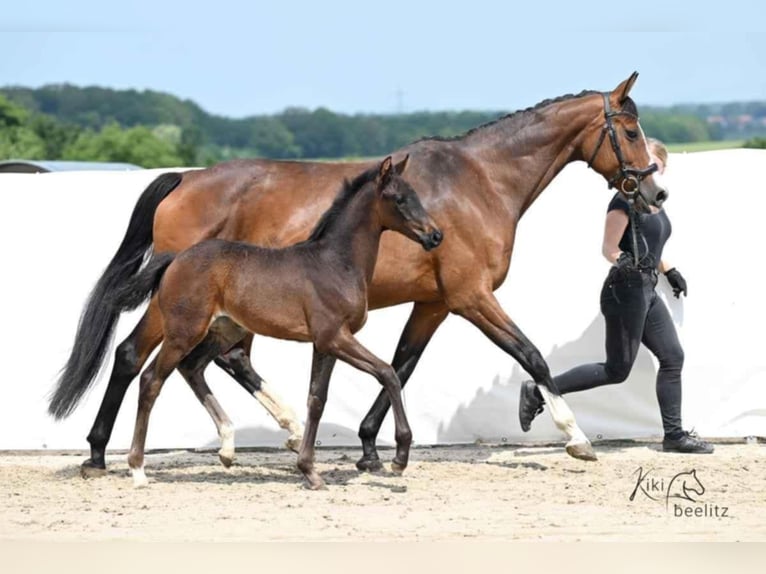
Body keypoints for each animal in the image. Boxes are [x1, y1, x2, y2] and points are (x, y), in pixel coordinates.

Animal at [111, 156, 442, 489]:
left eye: (415, 195)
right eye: (399, 199)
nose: (436, 235)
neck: (336, 263)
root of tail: (175, 260)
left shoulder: (325, 344)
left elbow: (316, 400)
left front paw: (309, 470)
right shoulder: (335, 337)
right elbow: (388, 373)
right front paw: (400, 458)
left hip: (224, 330)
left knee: (191, 368)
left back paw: (227, 450)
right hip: (183, 332)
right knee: (151, 380)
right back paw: (138, 469)